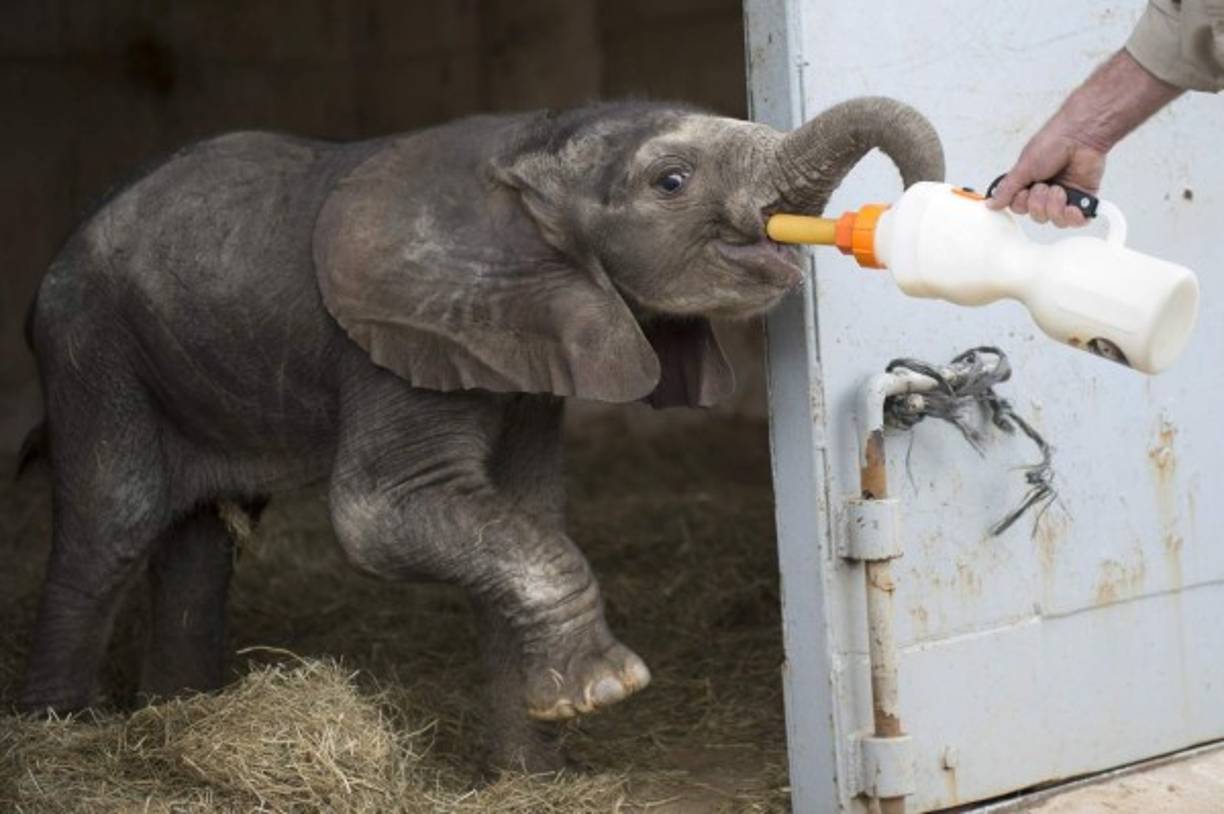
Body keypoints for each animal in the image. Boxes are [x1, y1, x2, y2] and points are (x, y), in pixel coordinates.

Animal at [19, 97, 943, 771]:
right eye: (671, 181)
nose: (902, 220)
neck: (531, 149)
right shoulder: (398, 337)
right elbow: (382, 515)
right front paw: (608, 690)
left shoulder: (522, 354)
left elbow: (522, 513)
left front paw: (532, 773)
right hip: (91, 345)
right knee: (114, 523)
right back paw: (61, 737)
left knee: (200, 539)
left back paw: (180, 716)